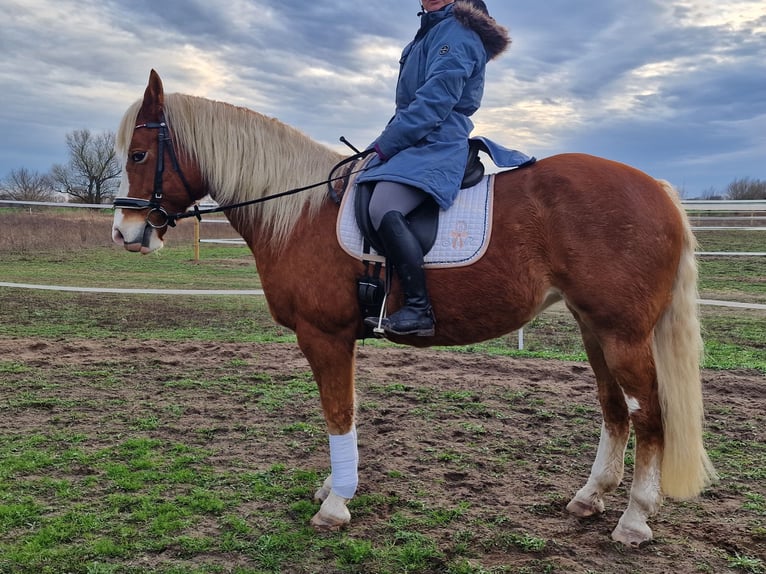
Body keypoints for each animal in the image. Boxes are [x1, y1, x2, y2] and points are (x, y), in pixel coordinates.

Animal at [111, 70, 716, 546]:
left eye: (140, 154)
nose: (125, 233)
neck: (299, 210)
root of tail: (658, 190)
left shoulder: (324, 335)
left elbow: (338, 412)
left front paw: (336, 504)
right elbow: (347, 411)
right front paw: (335, 487)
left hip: (622, 333)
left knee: (650, 415)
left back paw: (634, 520)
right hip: (596, 328)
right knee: (615, 410)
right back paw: (590, 497)